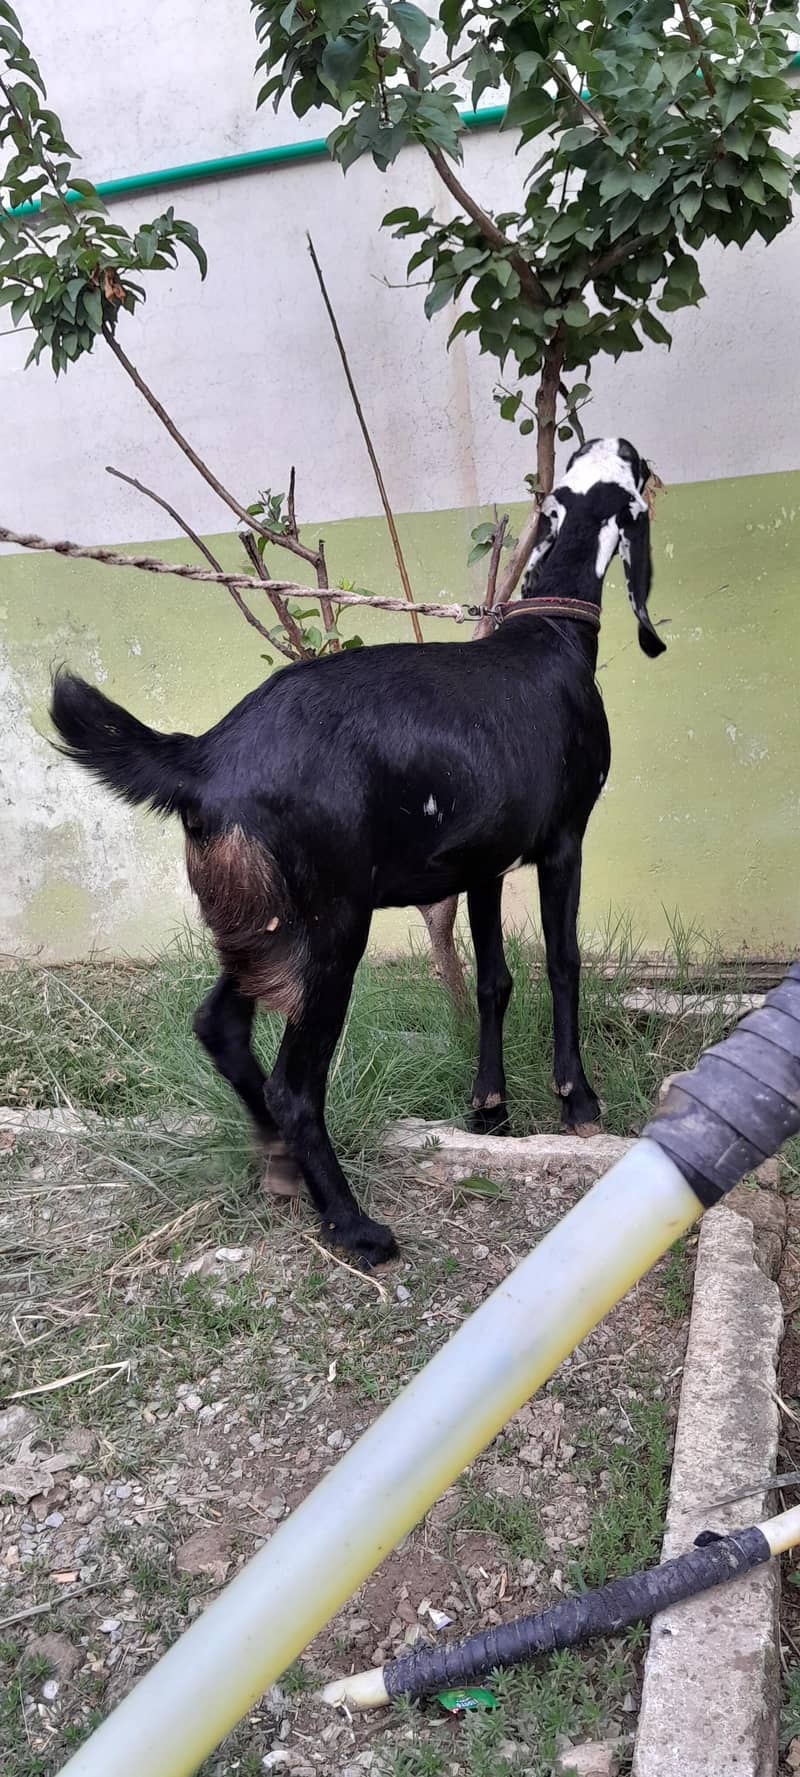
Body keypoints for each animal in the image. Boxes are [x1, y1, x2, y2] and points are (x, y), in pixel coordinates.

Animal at [50, 437, 666, 1267]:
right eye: (632, 464)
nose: (627, 445)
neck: (550, 636)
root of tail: (207, 757)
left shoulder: (481, 862)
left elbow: (494, 981)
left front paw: (490, 1108)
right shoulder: (564, 840)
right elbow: (563, 962)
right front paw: (578, 1099)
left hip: (264, 922)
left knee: (218, 1024)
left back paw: (282, 1162)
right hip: (334, 924)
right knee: (293, 1084)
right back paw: (352, 1223)